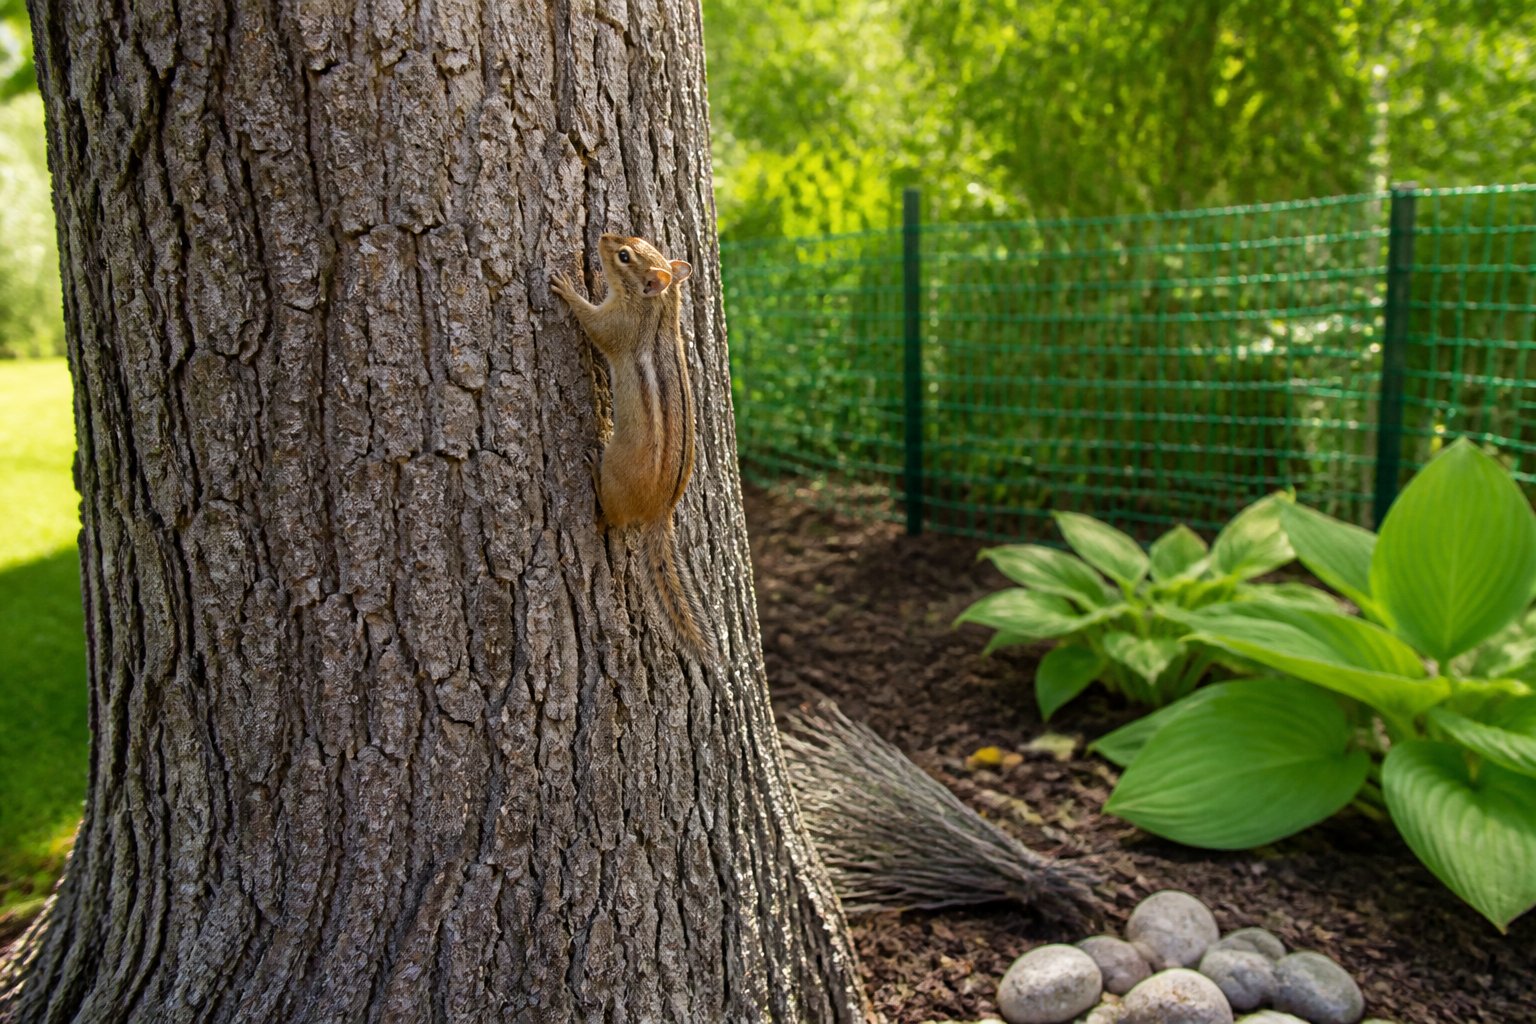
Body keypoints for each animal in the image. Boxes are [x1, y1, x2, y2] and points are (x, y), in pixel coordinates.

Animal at [551, 233, 716, 659]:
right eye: (635, 239)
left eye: (624, 256)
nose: (603, 236)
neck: (658, 309)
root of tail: (661, 509)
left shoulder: (616, 327)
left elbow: (592, 324)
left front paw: (567, 287)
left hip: (615, 476)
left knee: (610, 516)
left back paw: (593, 468)